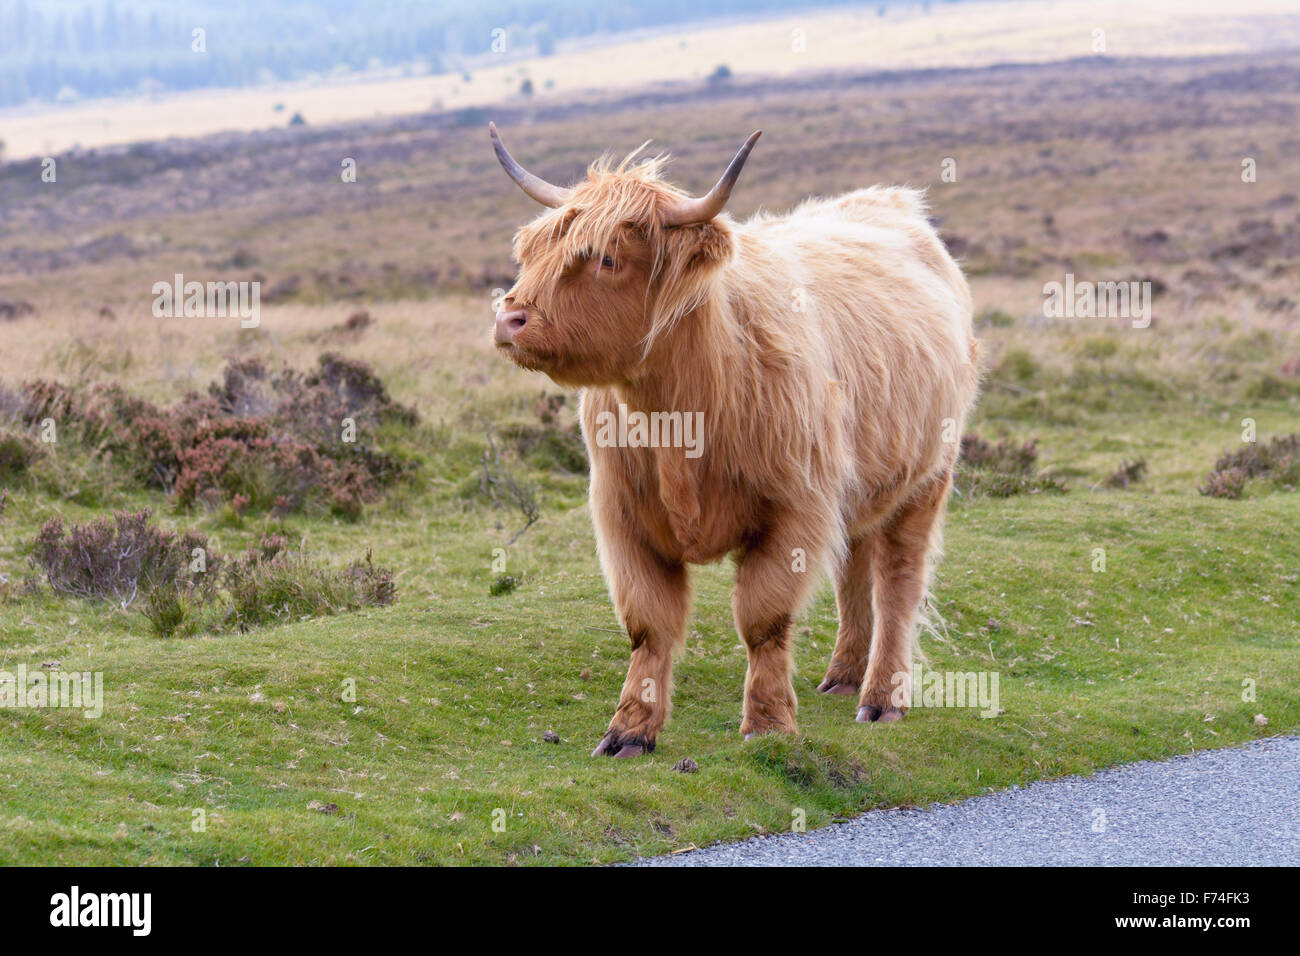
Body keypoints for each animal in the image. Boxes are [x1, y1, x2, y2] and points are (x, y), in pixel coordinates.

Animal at [489, 123, 980, 757]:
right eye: (531, 252)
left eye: (607, 258)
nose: (509, 318)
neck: (681, 414)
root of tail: (889, 202)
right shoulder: (622, 516)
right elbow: (648, 625)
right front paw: (629, 730)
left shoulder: (795, 511)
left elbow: (763, 620)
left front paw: (768, 726)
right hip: (859, 486)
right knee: (855, 568)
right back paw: (843, 677)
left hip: (926, 477)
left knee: (898, 580)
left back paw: (881, 699)